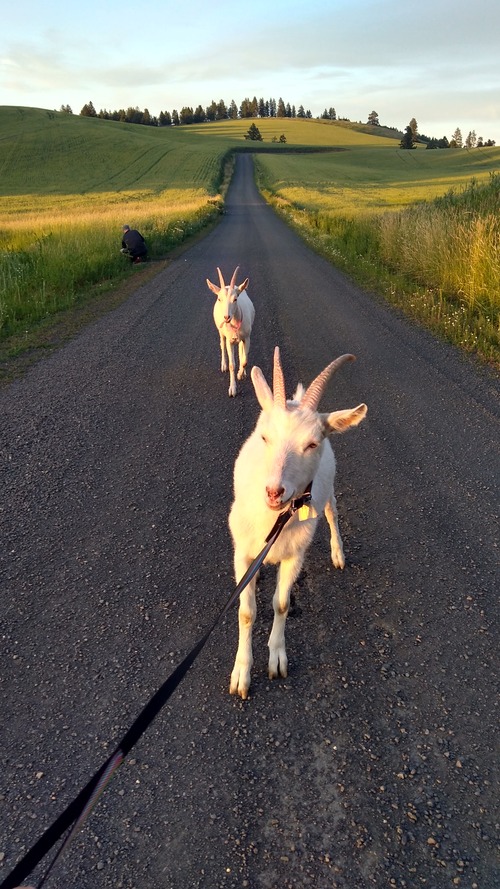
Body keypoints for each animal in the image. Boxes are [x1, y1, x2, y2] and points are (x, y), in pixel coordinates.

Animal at [206, 267, 255, 396]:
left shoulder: (247, 338)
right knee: (222, 345)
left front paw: (240, 374)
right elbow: (232, 364)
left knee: (241, 350)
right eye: (219, 299)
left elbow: (245, 361)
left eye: (235, 299)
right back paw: (223, 365)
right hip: (221, 333)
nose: (226, 317)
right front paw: (232, 389)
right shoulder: (229, 340)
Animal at [228, 346, 367, 698]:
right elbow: (246, 611)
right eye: (264, 437)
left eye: (312, 444)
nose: (274, 491)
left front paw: (277, 659)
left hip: (328, 490)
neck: (275, 522)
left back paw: (338, 553)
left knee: (332, 513)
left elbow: (281, 604)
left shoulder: (295, 555)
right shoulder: (243, 553)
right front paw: (241, 674)